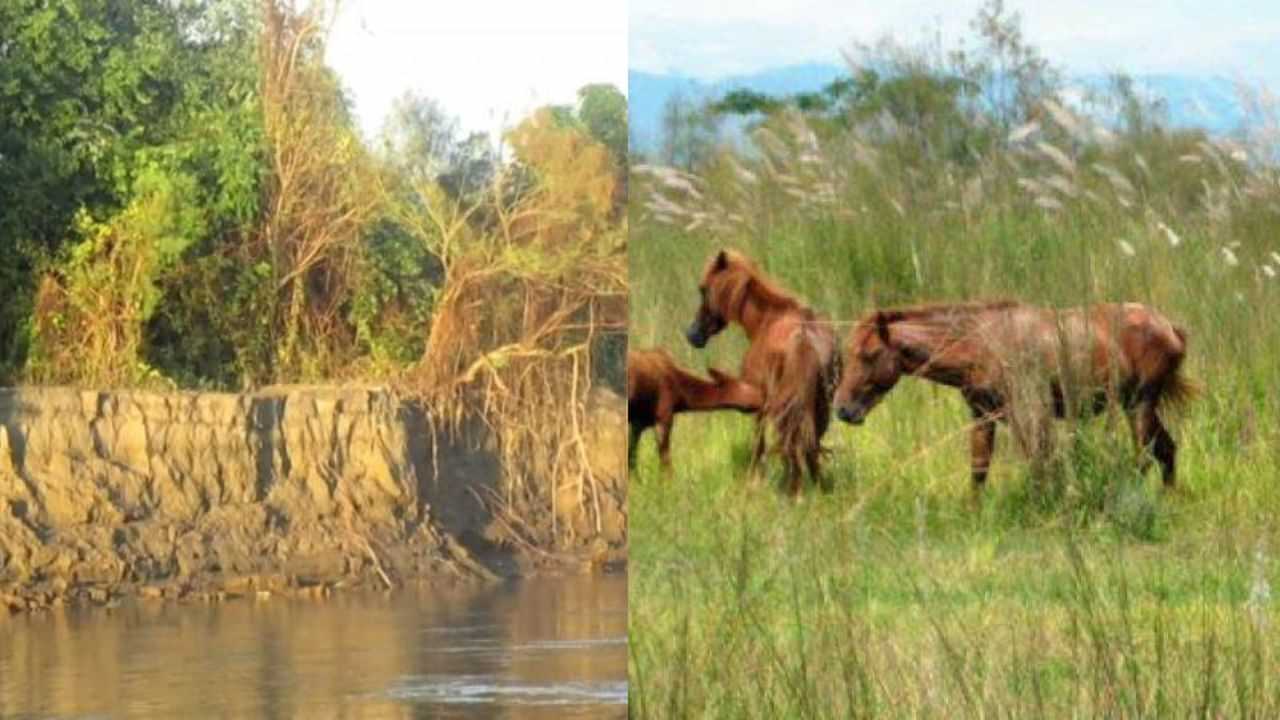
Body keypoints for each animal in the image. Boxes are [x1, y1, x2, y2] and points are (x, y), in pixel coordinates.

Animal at [627, 348, 762, 471]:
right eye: (746, 385)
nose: (762, 398)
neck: (681, 397)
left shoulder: (638, 423)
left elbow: (632, 459)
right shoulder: (663, 417)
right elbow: (665, 463)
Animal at [686, 248, 844, 491]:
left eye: (703, 289)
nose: (692, 335)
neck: (766, 320)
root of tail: (805, 339)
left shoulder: (757, 403)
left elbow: (758, 445)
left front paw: (753, 481)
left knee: (792, 450)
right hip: (818, 407)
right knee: (810, 449)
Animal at [834, 299, 1192, 489]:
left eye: (868, 355)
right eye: (848, 352)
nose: (843, 409)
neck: (982, 342)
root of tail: (1171, 329)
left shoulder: (1029, 415)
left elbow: (1040, 465)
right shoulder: (982, 415)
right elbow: (979, 469)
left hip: (1139, 406)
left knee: (1145, 456)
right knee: (1166, 450)